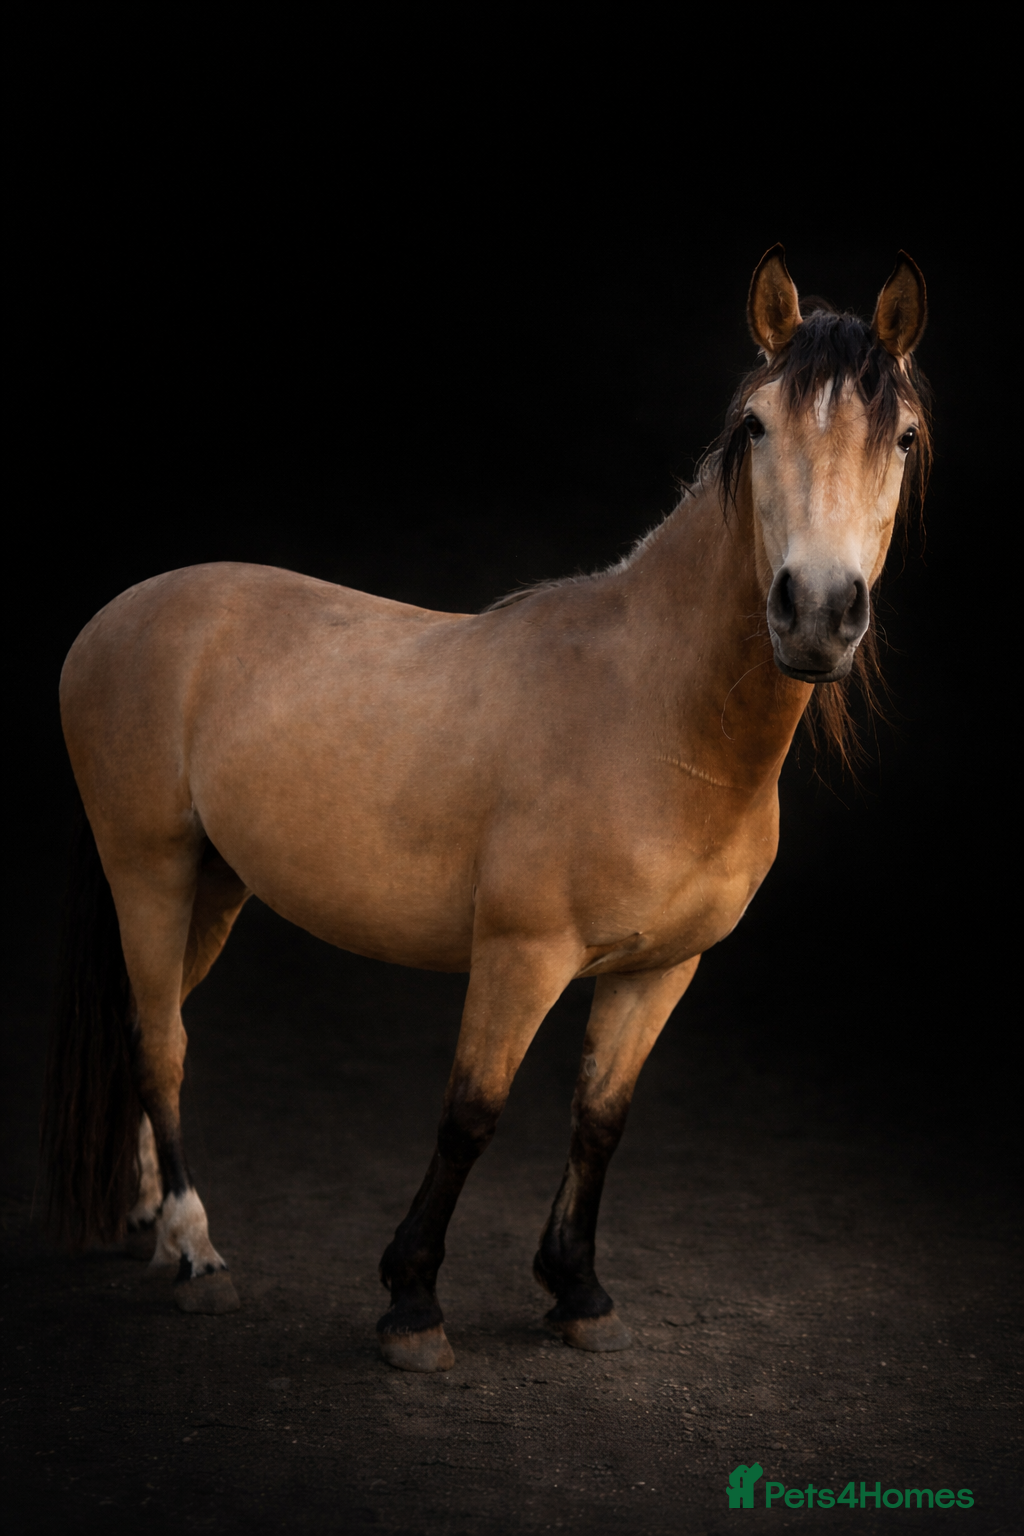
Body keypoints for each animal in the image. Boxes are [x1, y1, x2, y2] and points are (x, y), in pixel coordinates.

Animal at [43, 246, 930, 1373]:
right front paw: (412, 1305)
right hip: (147, 869)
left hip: (213, 886)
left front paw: (578, 1291)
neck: (653, 714)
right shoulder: (521, 953)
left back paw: (151, 1226)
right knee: (162, 1041)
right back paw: (197, 1255)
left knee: (146, 1026)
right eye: (759, 424)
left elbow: (600, 1119)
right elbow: (471, 1114)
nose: (816, 611)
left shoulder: (660, 971)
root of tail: (117, 613)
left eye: (902, 436)